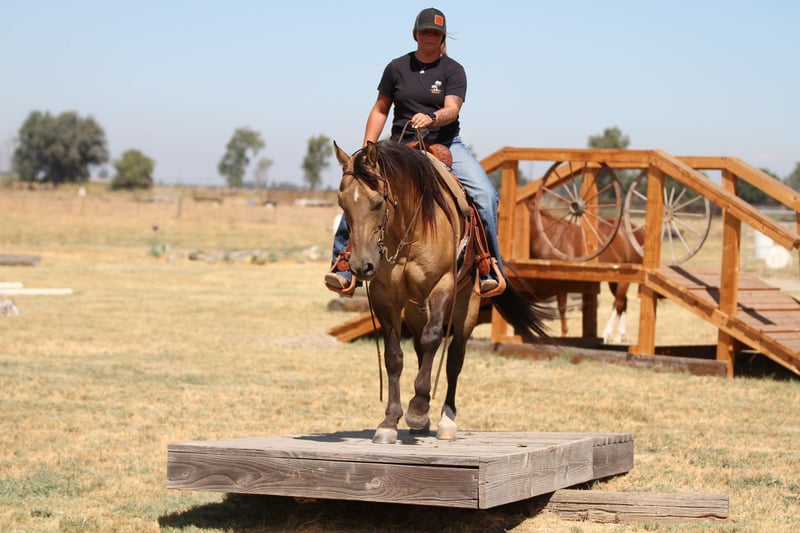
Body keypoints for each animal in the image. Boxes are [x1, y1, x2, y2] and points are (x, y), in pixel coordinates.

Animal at [335, 140, 549, 444]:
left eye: (377, 202)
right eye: (342, 204)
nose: (361, 266)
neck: (407, 232)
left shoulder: (443, 286)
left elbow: (434, 338)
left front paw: (417, 408)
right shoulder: (385, 295)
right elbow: (394, 355)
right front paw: (390, 421)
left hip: (467, 304)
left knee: (454, 357)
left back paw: (446, 420)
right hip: (415, 308)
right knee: (419, 347)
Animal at [528, 207, 645, 343]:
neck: (550, 237)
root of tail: (638, 230)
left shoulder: (560, 282)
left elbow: (561, 307)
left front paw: (564, 334)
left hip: (624, 280)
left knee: (618, 303)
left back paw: (606, 334)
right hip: (614, 280)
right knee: (623, 301)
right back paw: (618, 337)